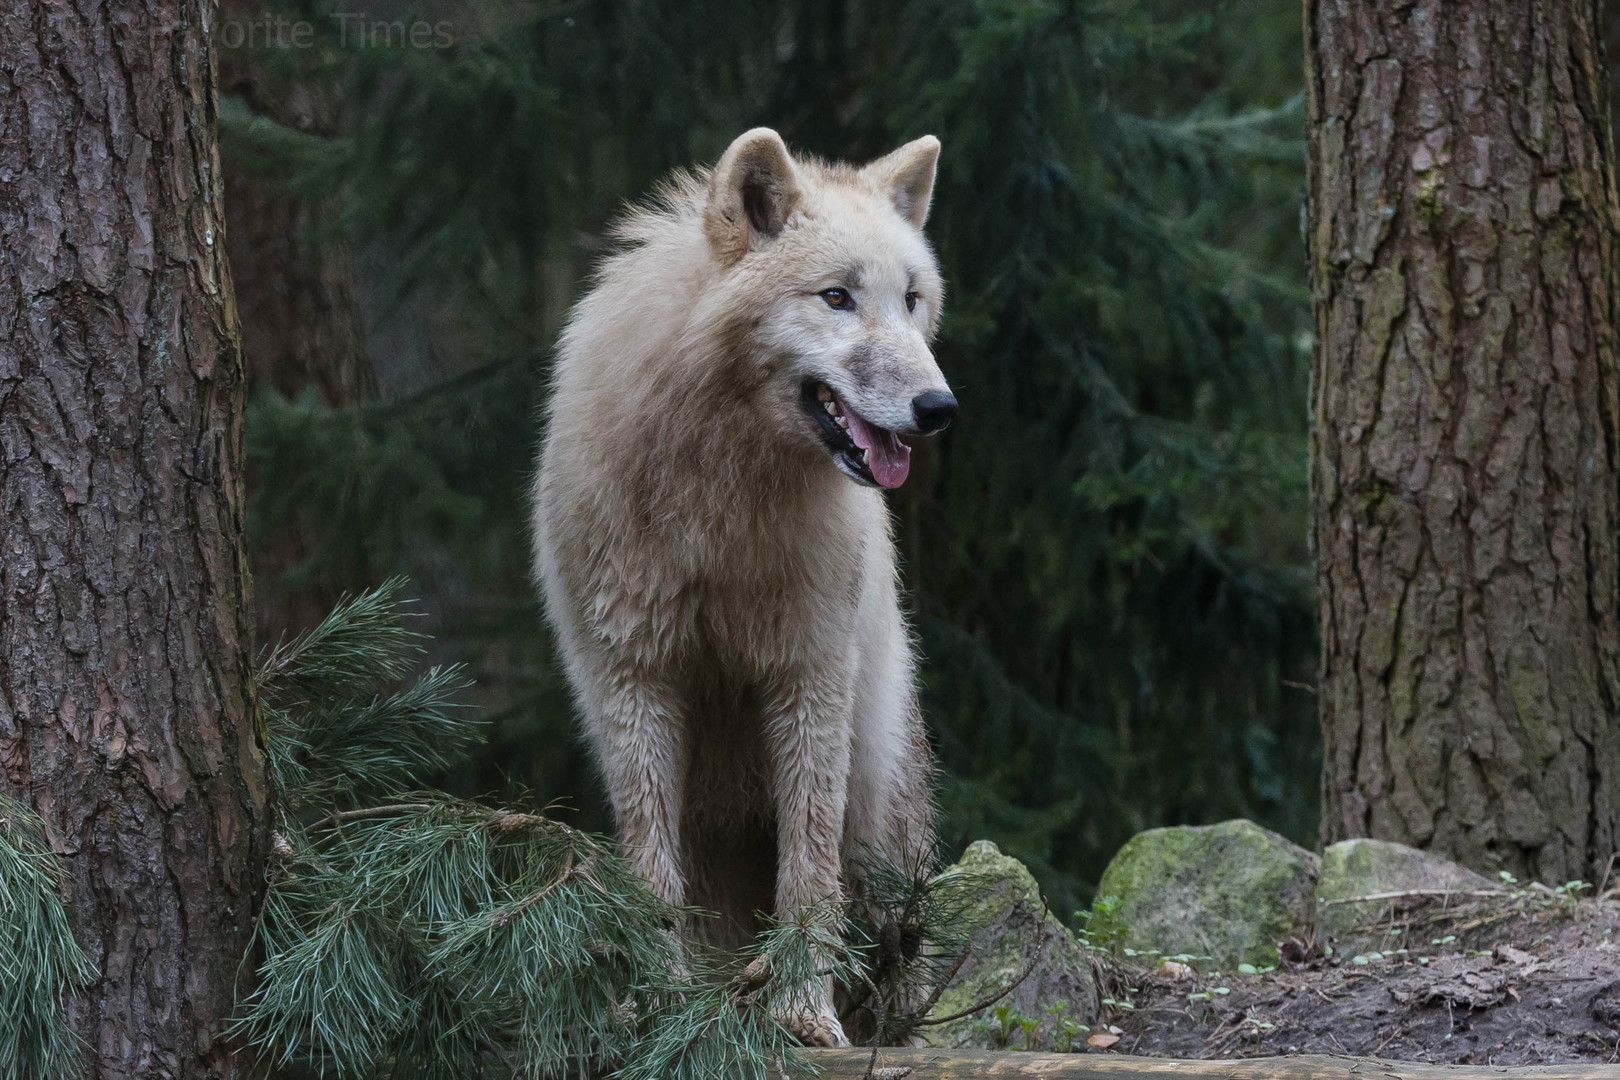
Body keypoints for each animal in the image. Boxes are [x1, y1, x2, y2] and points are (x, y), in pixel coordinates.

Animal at [531, 128, 952, 1049]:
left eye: (911, 300)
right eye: (836, 297)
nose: (938, 406)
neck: (720, 503)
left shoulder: (808, 674)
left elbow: (808, 869)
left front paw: (802, 1014)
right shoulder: (637, 680)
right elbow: (650, 875)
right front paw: (658, 1010)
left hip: (879, 803)